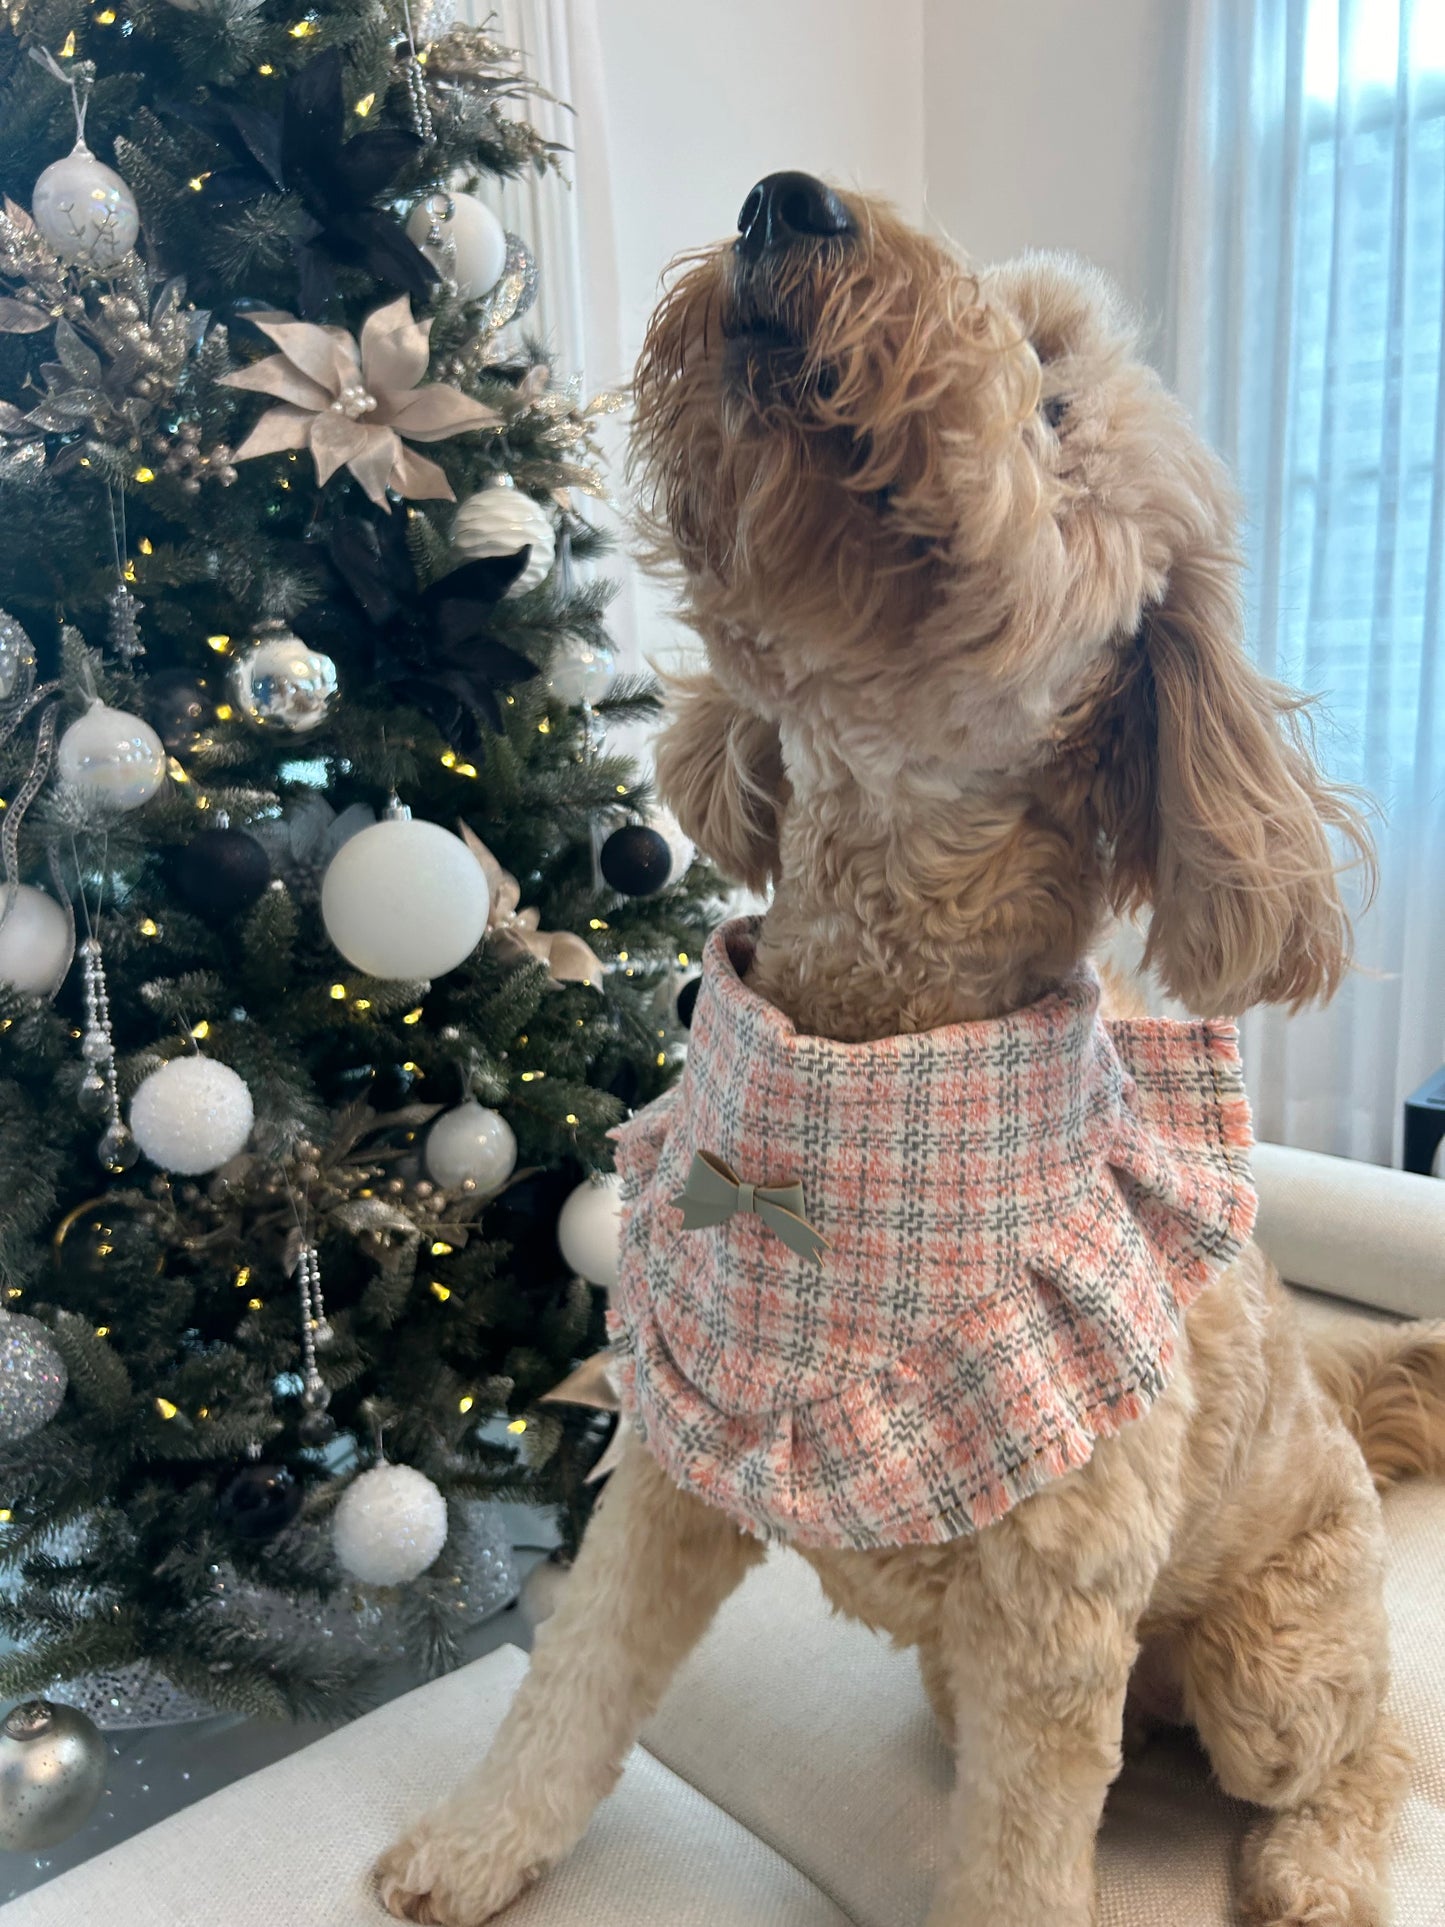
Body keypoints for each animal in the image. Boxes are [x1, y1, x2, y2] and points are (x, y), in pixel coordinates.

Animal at [381, 181, 1445, 1927]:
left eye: (1053, 397)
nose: (787, 201)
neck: (865, 1052)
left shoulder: (1050, 1622)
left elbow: (1021, 1864)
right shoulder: (670, 1467)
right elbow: (572, 1688)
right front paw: (473, 1843)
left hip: (1273, 1669)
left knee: (1376, 1740)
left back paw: (1312, 1863)